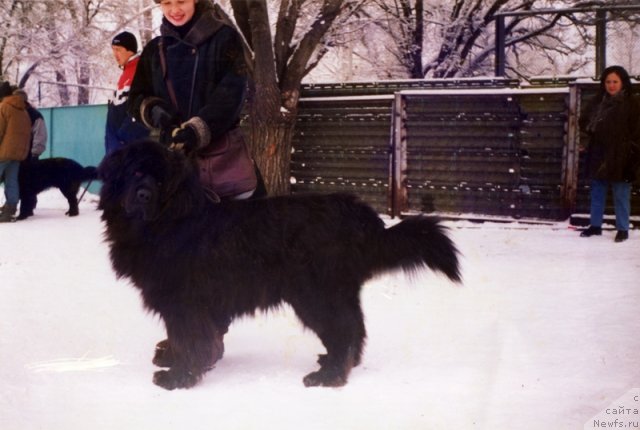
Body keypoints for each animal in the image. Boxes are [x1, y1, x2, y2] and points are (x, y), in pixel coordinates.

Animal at [99, 140, 460, 390]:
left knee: (343, 331)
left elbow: (189, 338)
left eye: (161, 181)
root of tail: (358, 214)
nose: (143, 195)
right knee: (355, 329)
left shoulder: (185, 302)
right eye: (135, 172)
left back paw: (328, 375)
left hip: (317, 295)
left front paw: (178, 376)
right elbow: (180, 336)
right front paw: (172, 359)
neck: (167, 221)